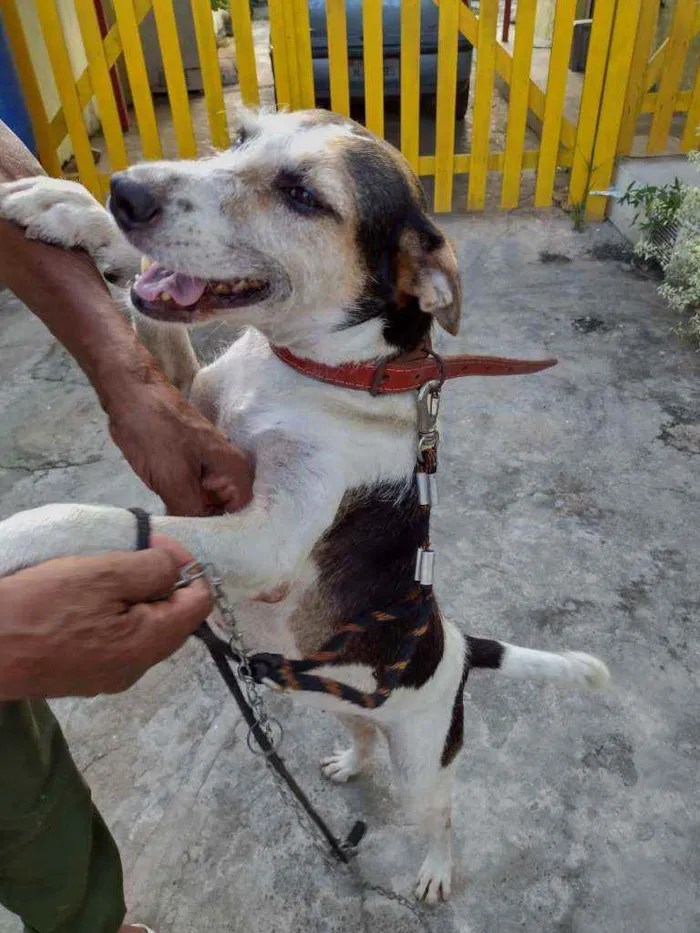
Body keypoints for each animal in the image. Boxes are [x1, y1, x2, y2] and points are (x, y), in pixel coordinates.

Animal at [0, 109, 608, 904]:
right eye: (238, 137)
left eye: (303, 196)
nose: (126, 191)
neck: (312, 370)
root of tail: (456, 644)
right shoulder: (188, 401)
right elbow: (155, 325)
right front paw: (71, 210)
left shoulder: (270, 542)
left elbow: (110, 520)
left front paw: (24, 535)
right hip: (338, 702)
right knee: (361, 732)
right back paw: (350, 761)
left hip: (423, 766)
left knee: (442, 812)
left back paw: (435, 870)